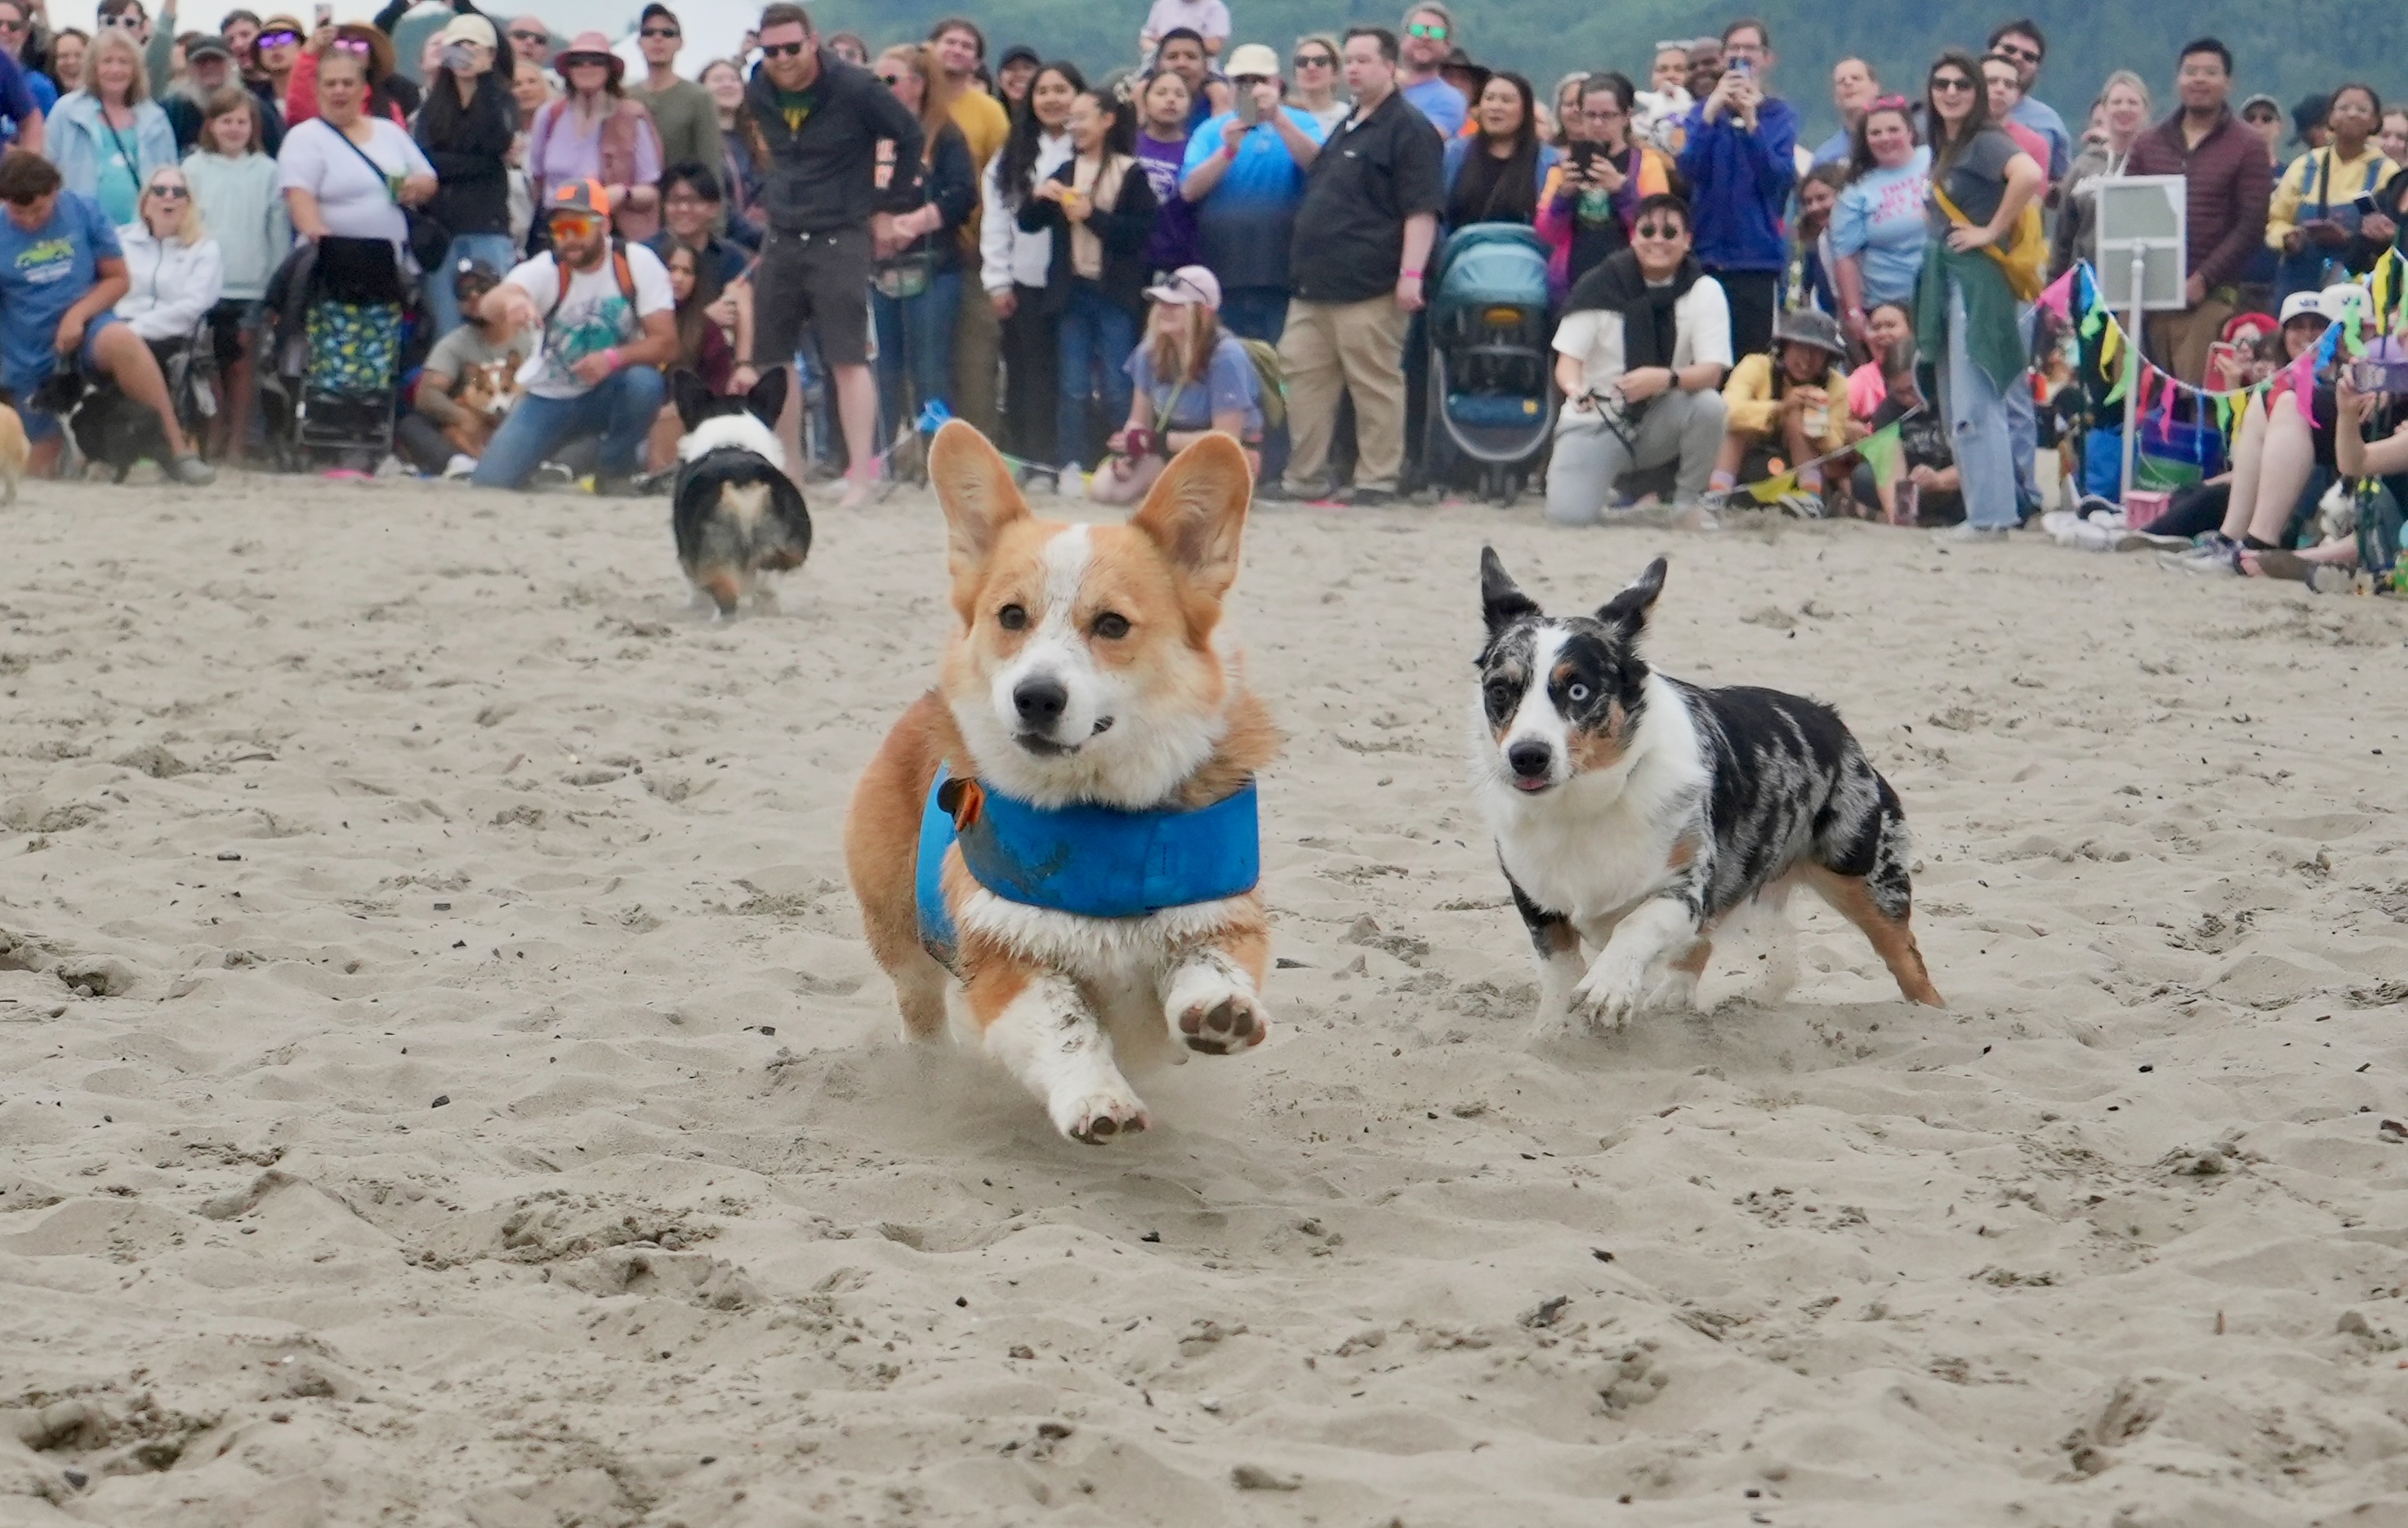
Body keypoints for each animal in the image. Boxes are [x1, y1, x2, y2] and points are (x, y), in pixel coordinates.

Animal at [842, 423, 1271, 1140]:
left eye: (1113, 625)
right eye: (1012, 616)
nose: (1036, 697)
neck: (1098, 815)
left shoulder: (1220, 915)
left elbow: (1209, 961)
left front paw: (1220, 1010)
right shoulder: (1008, 957)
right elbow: (1066, 1026)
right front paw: (1098, 1099)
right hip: (897, 930)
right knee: (919, 1003)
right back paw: (931, 1070)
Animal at [1464, 546, 1936, 1030]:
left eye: (1578, 690)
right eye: (1500, 690)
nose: (1527, 756)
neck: (1581, 805)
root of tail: (1834, 722)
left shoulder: (1687, 889)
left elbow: (1637, 924)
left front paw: (1607, 988)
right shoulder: (1535, 899)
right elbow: (1559, 970)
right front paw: (1552, 1033)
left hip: (1866, 879)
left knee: (1908, 959)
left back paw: (1933, 1016)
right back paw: (1675, 995)